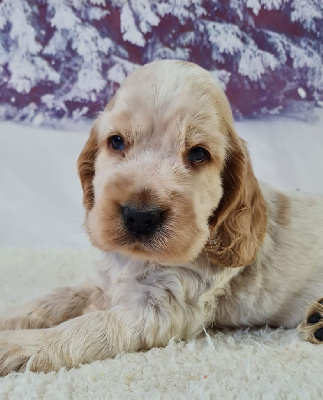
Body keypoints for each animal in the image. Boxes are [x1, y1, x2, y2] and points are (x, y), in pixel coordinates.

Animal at [0, 60, 323, 376]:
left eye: (198, 154)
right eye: (116, 141)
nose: (139, 216)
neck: (136, 260)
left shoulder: (164, 308)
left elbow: (90, 325)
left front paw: (19, 345)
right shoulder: (103, 282)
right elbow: (51, 299)